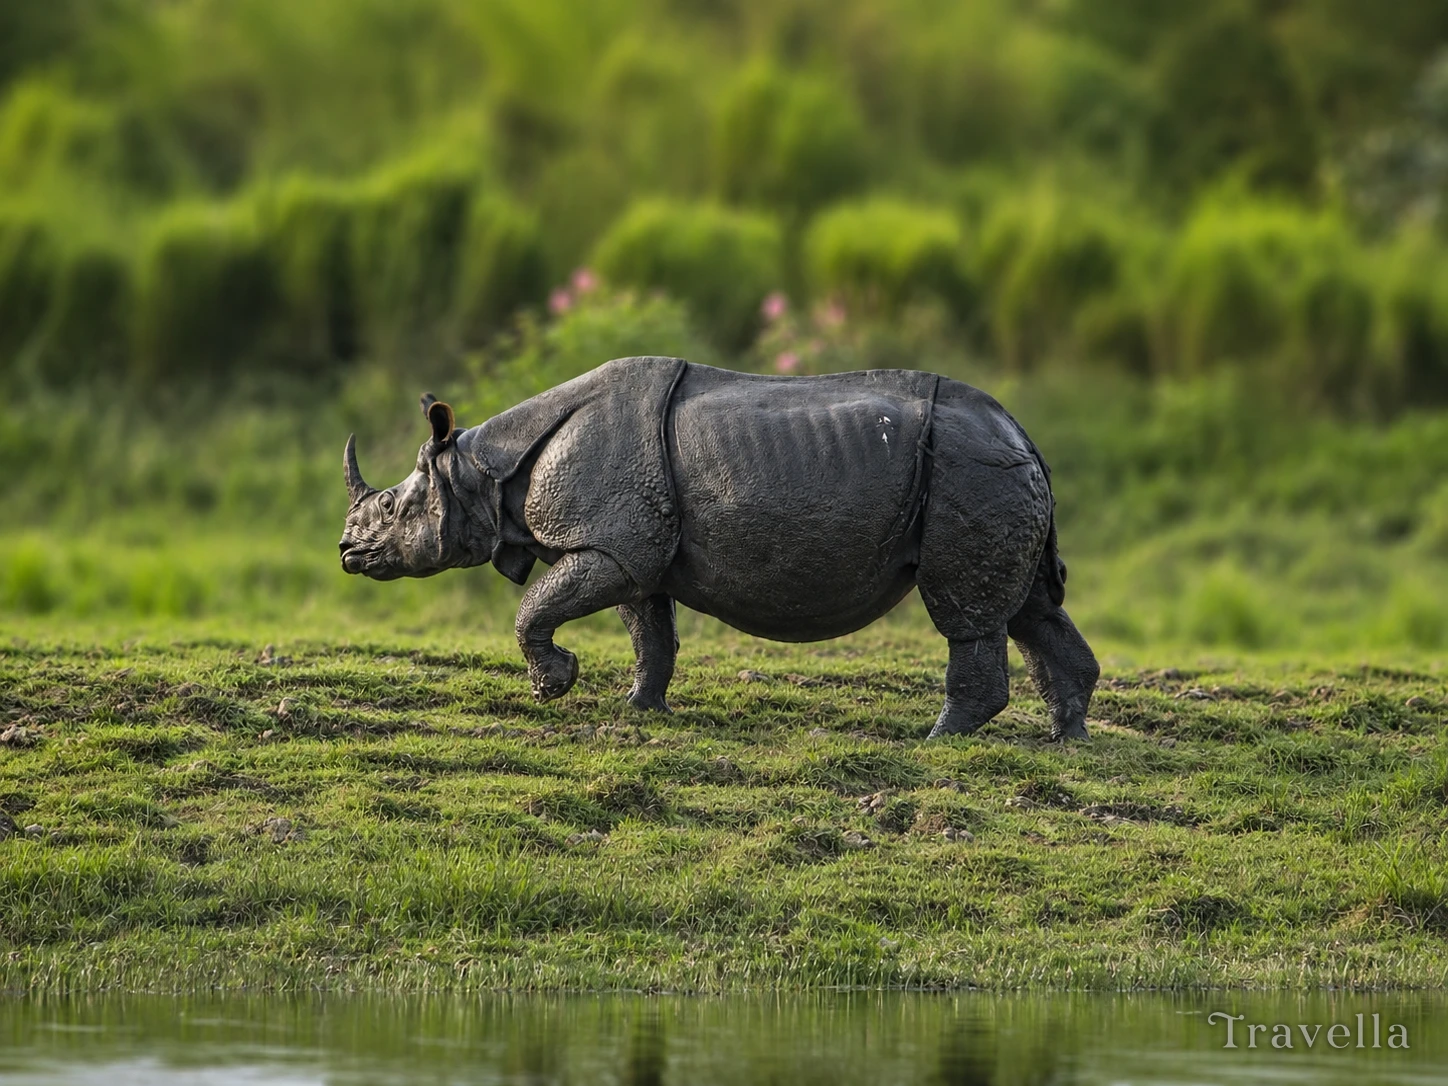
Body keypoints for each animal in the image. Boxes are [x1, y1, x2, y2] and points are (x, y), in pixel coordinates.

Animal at [339, 357, 1099, 739]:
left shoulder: (608, 546)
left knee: (967, 613)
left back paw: (941, 738)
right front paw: (640, 709)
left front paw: (555, 685)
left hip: (969, 468)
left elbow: (535, 609)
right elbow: (651, 634)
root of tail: (1022, 432)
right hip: (990, 469)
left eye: (392, 508)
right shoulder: (633, 551)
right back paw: (1065, 739)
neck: (482, 469)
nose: (348, 552)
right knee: (1032, 608)